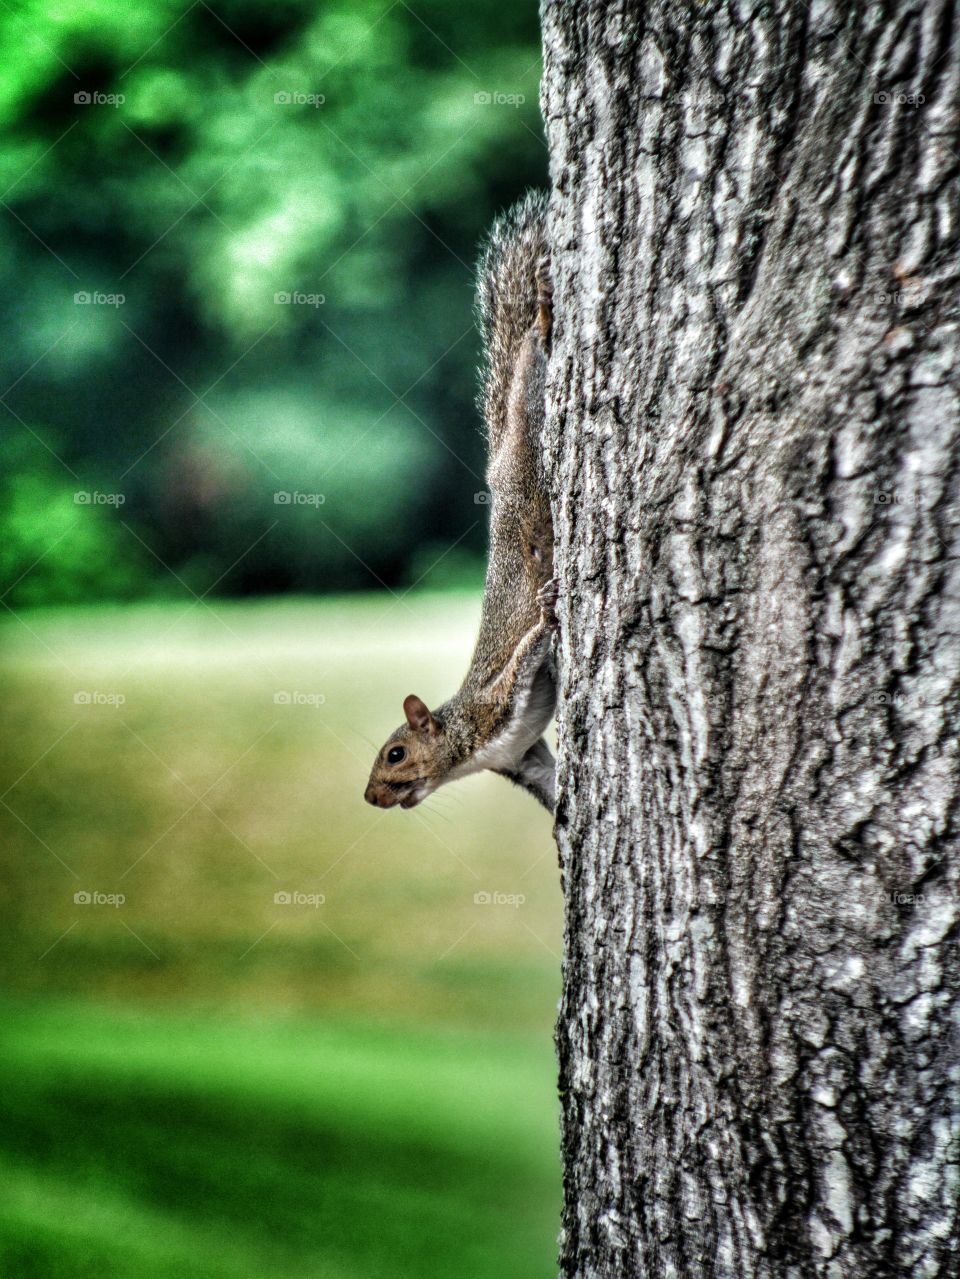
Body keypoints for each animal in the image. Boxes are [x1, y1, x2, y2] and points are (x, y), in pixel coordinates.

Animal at [363, 191, 559, 808]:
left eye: (396, 754)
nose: (370, 799)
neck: (467, 754)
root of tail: (496, 470)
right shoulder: (520, 758)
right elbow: (551, 783)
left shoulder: (491, 708)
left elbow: (524, 657)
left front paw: (547, 616)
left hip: (530, 440)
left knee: (532, 365)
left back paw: (543, 316)